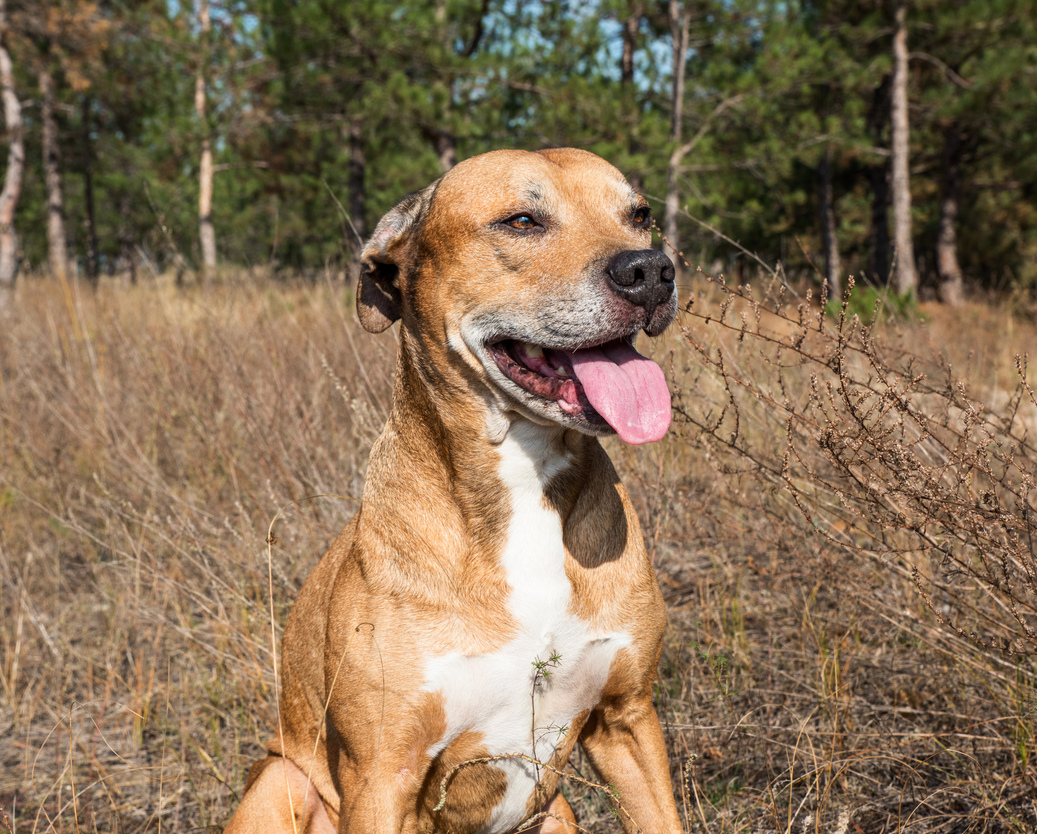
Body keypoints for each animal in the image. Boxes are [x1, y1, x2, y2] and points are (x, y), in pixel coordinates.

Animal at [222, 149, 684, 834]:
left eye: (640, 215)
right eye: (521, 221)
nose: (652, 271)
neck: (524, 483)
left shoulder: (627, 719)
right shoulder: (382, 774)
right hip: (280, 781)